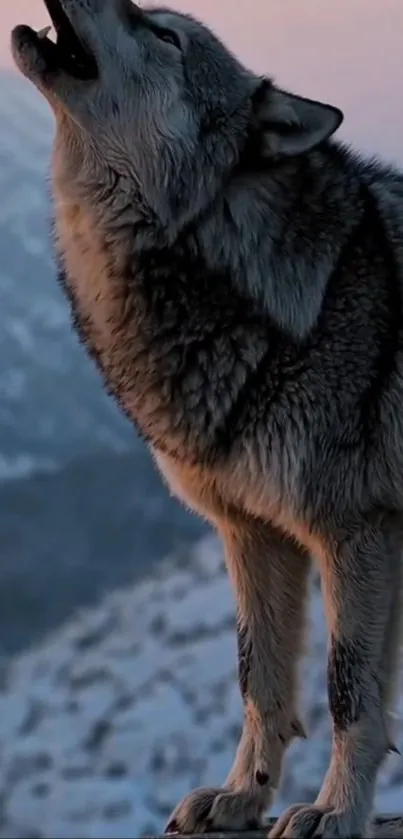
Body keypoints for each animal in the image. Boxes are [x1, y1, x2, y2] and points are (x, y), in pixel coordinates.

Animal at [11, 0, 403, 835]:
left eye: (163, 35)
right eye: (153, 17)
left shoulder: (355, 531)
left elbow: (348, 690)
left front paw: (335, 810)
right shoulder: (251, 532)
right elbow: (259, 678)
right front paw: (241, 796)